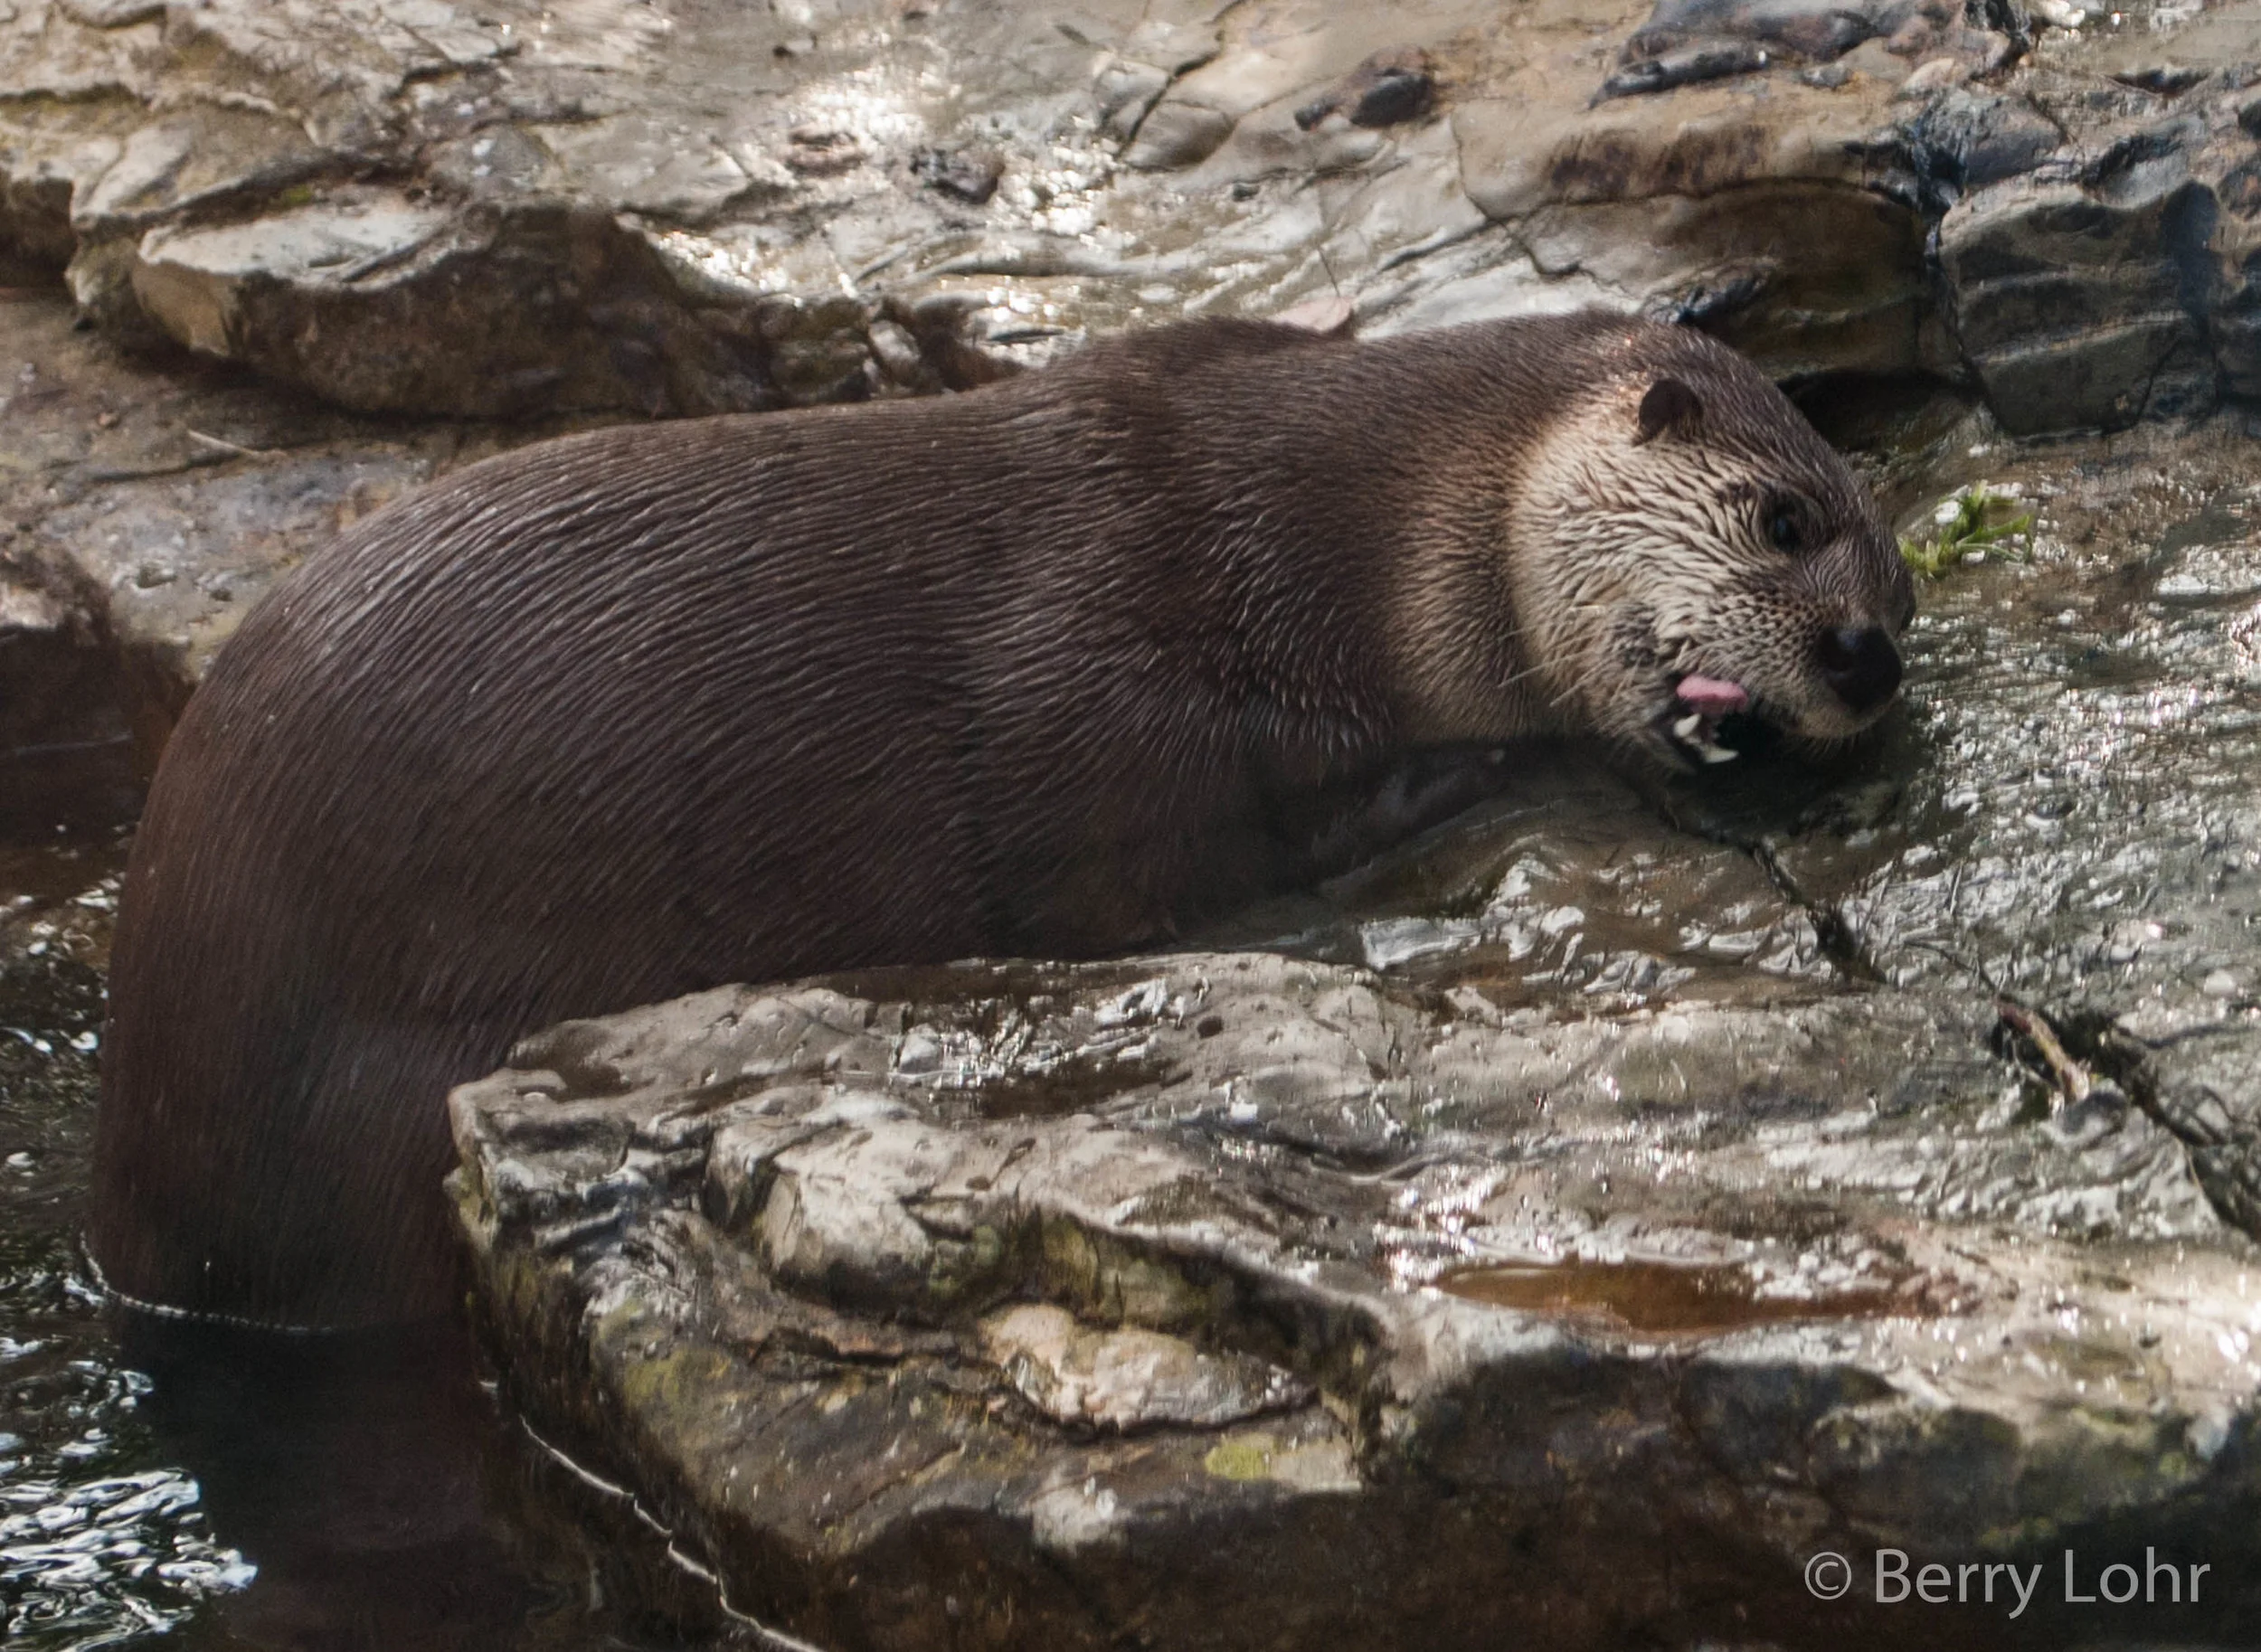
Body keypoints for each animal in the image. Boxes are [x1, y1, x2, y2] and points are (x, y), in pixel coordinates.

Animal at [92, 312, 1914, 1329]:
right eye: (1784, 516)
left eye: (1898, 583)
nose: (1866, 660)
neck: (1336, 529)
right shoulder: (1113, 662)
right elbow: (1153, 849)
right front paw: (1464, 771)